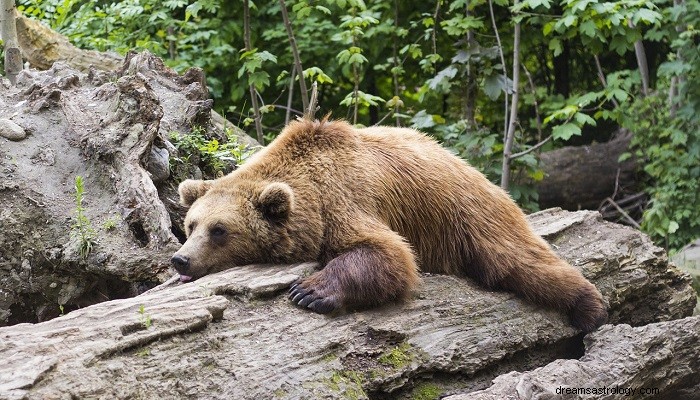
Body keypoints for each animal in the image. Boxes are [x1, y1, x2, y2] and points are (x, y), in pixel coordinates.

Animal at [172, 118, 608, 333]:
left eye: (220, 230)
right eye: (191, 225)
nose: (181, 260)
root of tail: (468, 165)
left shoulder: (345, 200)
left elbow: (388, 253)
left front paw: (310, 291)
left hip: (468, 215)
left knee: (518, 261)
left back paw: (590, 307)